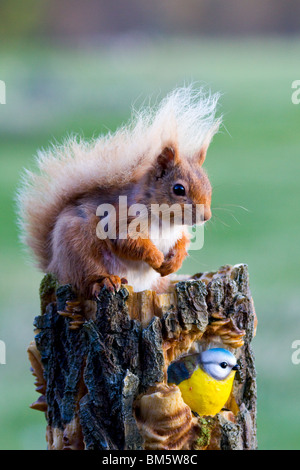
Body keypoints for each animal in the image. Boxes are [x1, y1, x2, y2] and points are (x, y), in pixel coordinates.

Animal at [18, 87, 220, 298]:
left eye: (208, 185)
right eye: (178, 189)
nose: (206, 216)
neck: (165, 221)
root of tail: (54, 267)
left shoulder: (178, 233)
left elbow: (182, 243)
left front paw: (173, 264)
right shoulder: (119, 219)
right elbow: (128, 243)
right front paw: (156, 257)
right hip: (79, 250)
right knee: (88, 278)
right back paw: (106, 280)